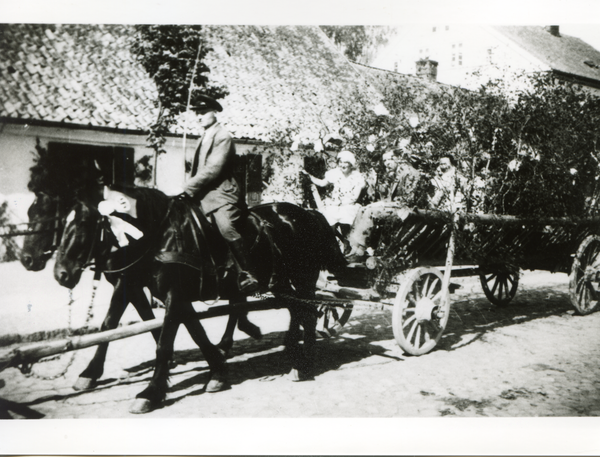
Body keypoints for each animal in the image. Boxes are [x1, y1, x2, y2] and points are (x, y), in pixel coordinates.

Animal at [56, 186, 346, 414]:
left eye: (84, 224)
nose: (60, 274)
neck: (162, 236)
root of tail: (307, 213)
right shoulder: (153, 290)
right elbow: (191, 331)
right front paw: (217, 371)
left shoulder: (164, 292)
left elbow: (163, 342)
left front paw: (150, 392)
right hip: (282, 282)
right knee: (295, 311)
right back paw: (287, 348)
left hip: (304, 279)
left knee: (308, 315)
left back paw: (302, 363)